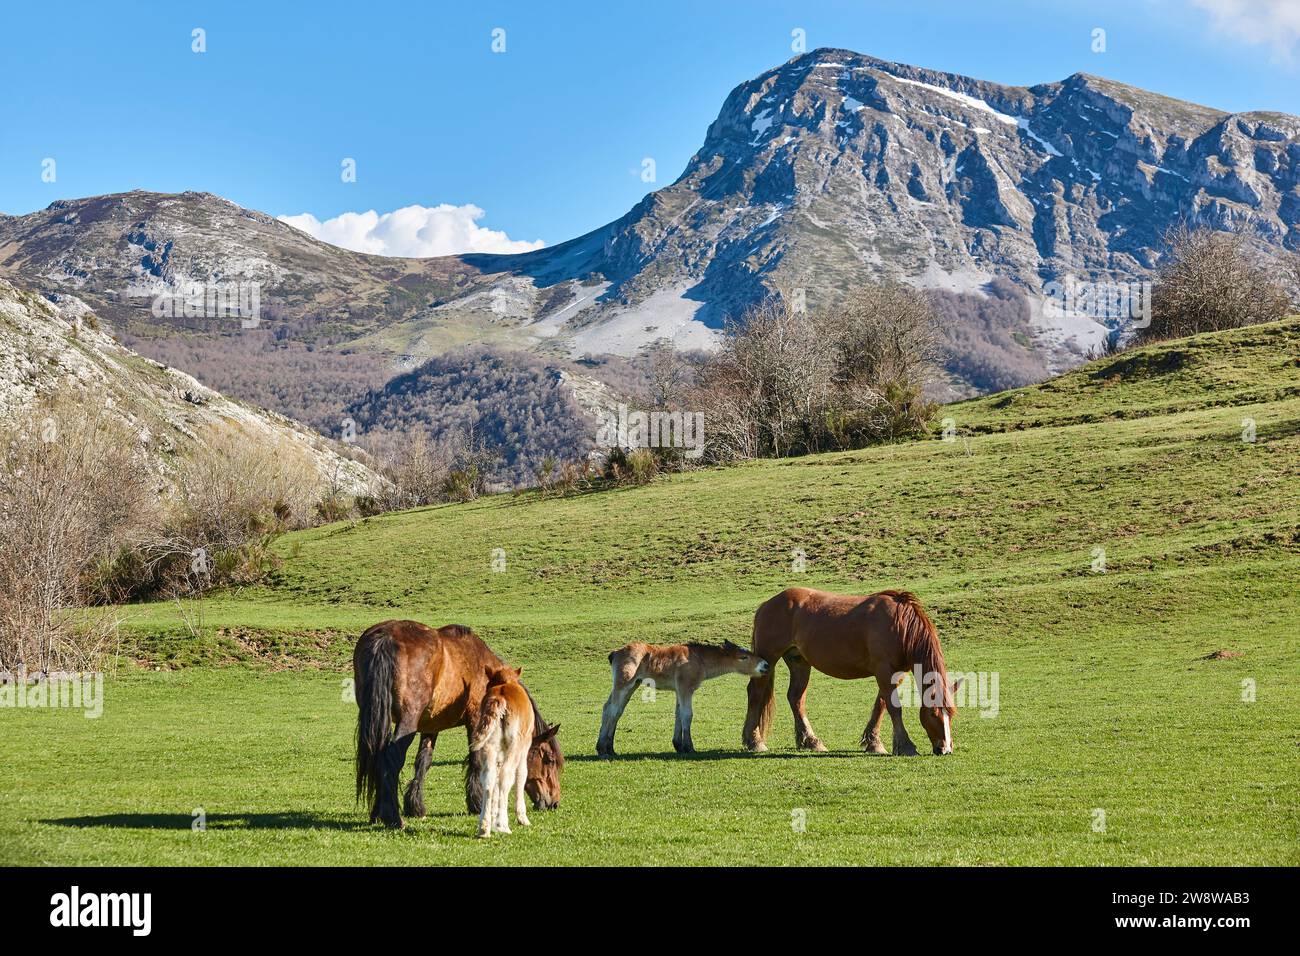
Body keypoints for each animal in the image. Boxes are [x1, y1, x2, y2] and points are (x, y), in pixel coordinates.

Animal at [469, 665, 535, 838]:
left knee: (488, 778)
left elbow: (495, 782)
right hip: (514, 746)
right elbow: (521, 775)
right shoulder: (524, 748)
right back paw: (502, 825)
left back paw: (484, 827)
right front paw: (522, 817)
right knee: (506, 776)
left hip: (489, 746)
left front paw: (492, 814)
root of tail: (500, 698)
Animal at [596, 639, 769, 756]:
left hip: (632, 686)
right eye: (744, 657)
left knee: (615, 710)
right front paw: (689, 747)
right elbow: (687, 714)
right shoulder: (686, 688)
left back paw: (609, 748)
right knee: (611, 709)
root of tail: (615, 653)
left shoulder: (679, 690)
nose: (765, 665)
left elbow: (678, 714)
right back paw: (602, 748)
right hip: (623, 684)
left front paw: (678, 746)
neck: (698, 659)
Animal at [743, 588, 964, 756]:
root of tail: (767, 604)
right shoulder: (883, 670)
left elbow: (881, 705)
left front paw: (874, 743)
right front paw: (906, 746)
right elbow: (894, 708)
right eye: (934, 713)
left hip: (799, 661)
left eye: (951, 714)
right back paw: (755, 741)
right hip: (769, 657)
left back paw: (811, 741)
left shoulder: (897, 673)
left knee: (795, 698)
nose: (945, 749)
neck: (900, 625)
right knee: (756, 694)